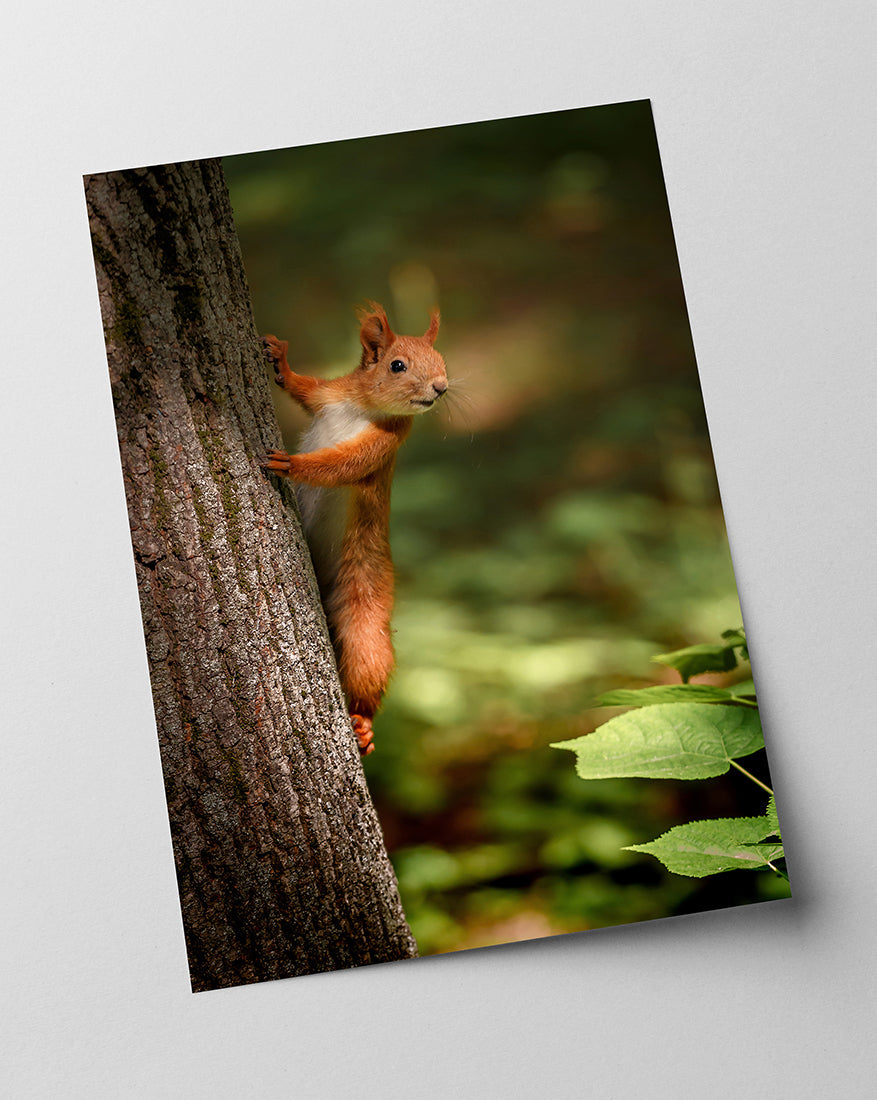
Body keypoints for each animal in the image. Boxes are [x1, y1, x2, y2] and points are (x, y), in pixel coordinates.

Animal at [260, 303, 448, 756]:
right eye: (397, 365)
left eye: (443, 361)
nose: (441, 387)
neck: (364, 408)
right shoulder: (330, 397)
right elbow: (305, 389)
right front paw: (280, 360)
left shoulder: (382, 445)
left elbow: (340, 465)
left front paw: (292, 464)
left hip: (365, 616)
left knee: (367, 666)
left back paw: (363, 724)